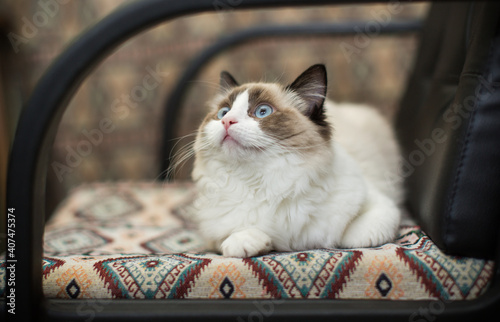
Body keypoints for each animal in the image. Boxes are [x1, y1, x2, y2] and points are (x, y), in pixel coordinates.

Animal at [191, 64, 402, 258]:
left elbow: (353, 236)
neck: (263, 180)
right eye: (223, 112)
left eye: (262, 112)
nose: (227, 121)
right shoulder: (215, 235)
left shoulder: (380, 205)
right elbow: (236, 238)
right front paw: (248, 242)